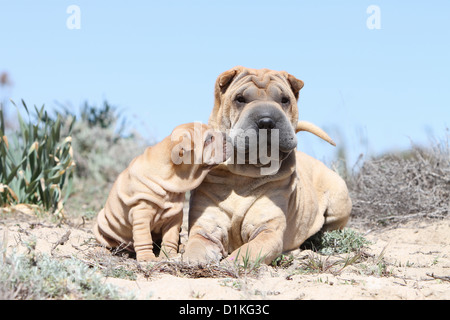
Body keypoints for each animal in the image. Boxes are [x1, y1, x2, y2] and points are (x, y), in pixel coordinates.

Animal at [92, 122, 230, 260]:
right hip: (102, 226)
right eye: (208, 139)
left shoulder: (175, 216)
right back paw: (104, 251)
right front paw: (147, 257)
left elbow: (170, 238)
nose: (229, 137)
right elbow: (144, 238)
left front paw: (169, 255)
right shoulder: (141, 214)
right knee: (106, 242)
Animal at [185, 66, 354, 264]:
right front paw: (194, 261)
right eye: (240, 99)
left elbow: (247, 251)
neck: (242, 174)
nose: (266, 121)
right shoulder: (206, 227)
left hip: (338, 197)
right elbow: (196, 245)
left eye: (284, 100)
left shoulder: (267, 231)